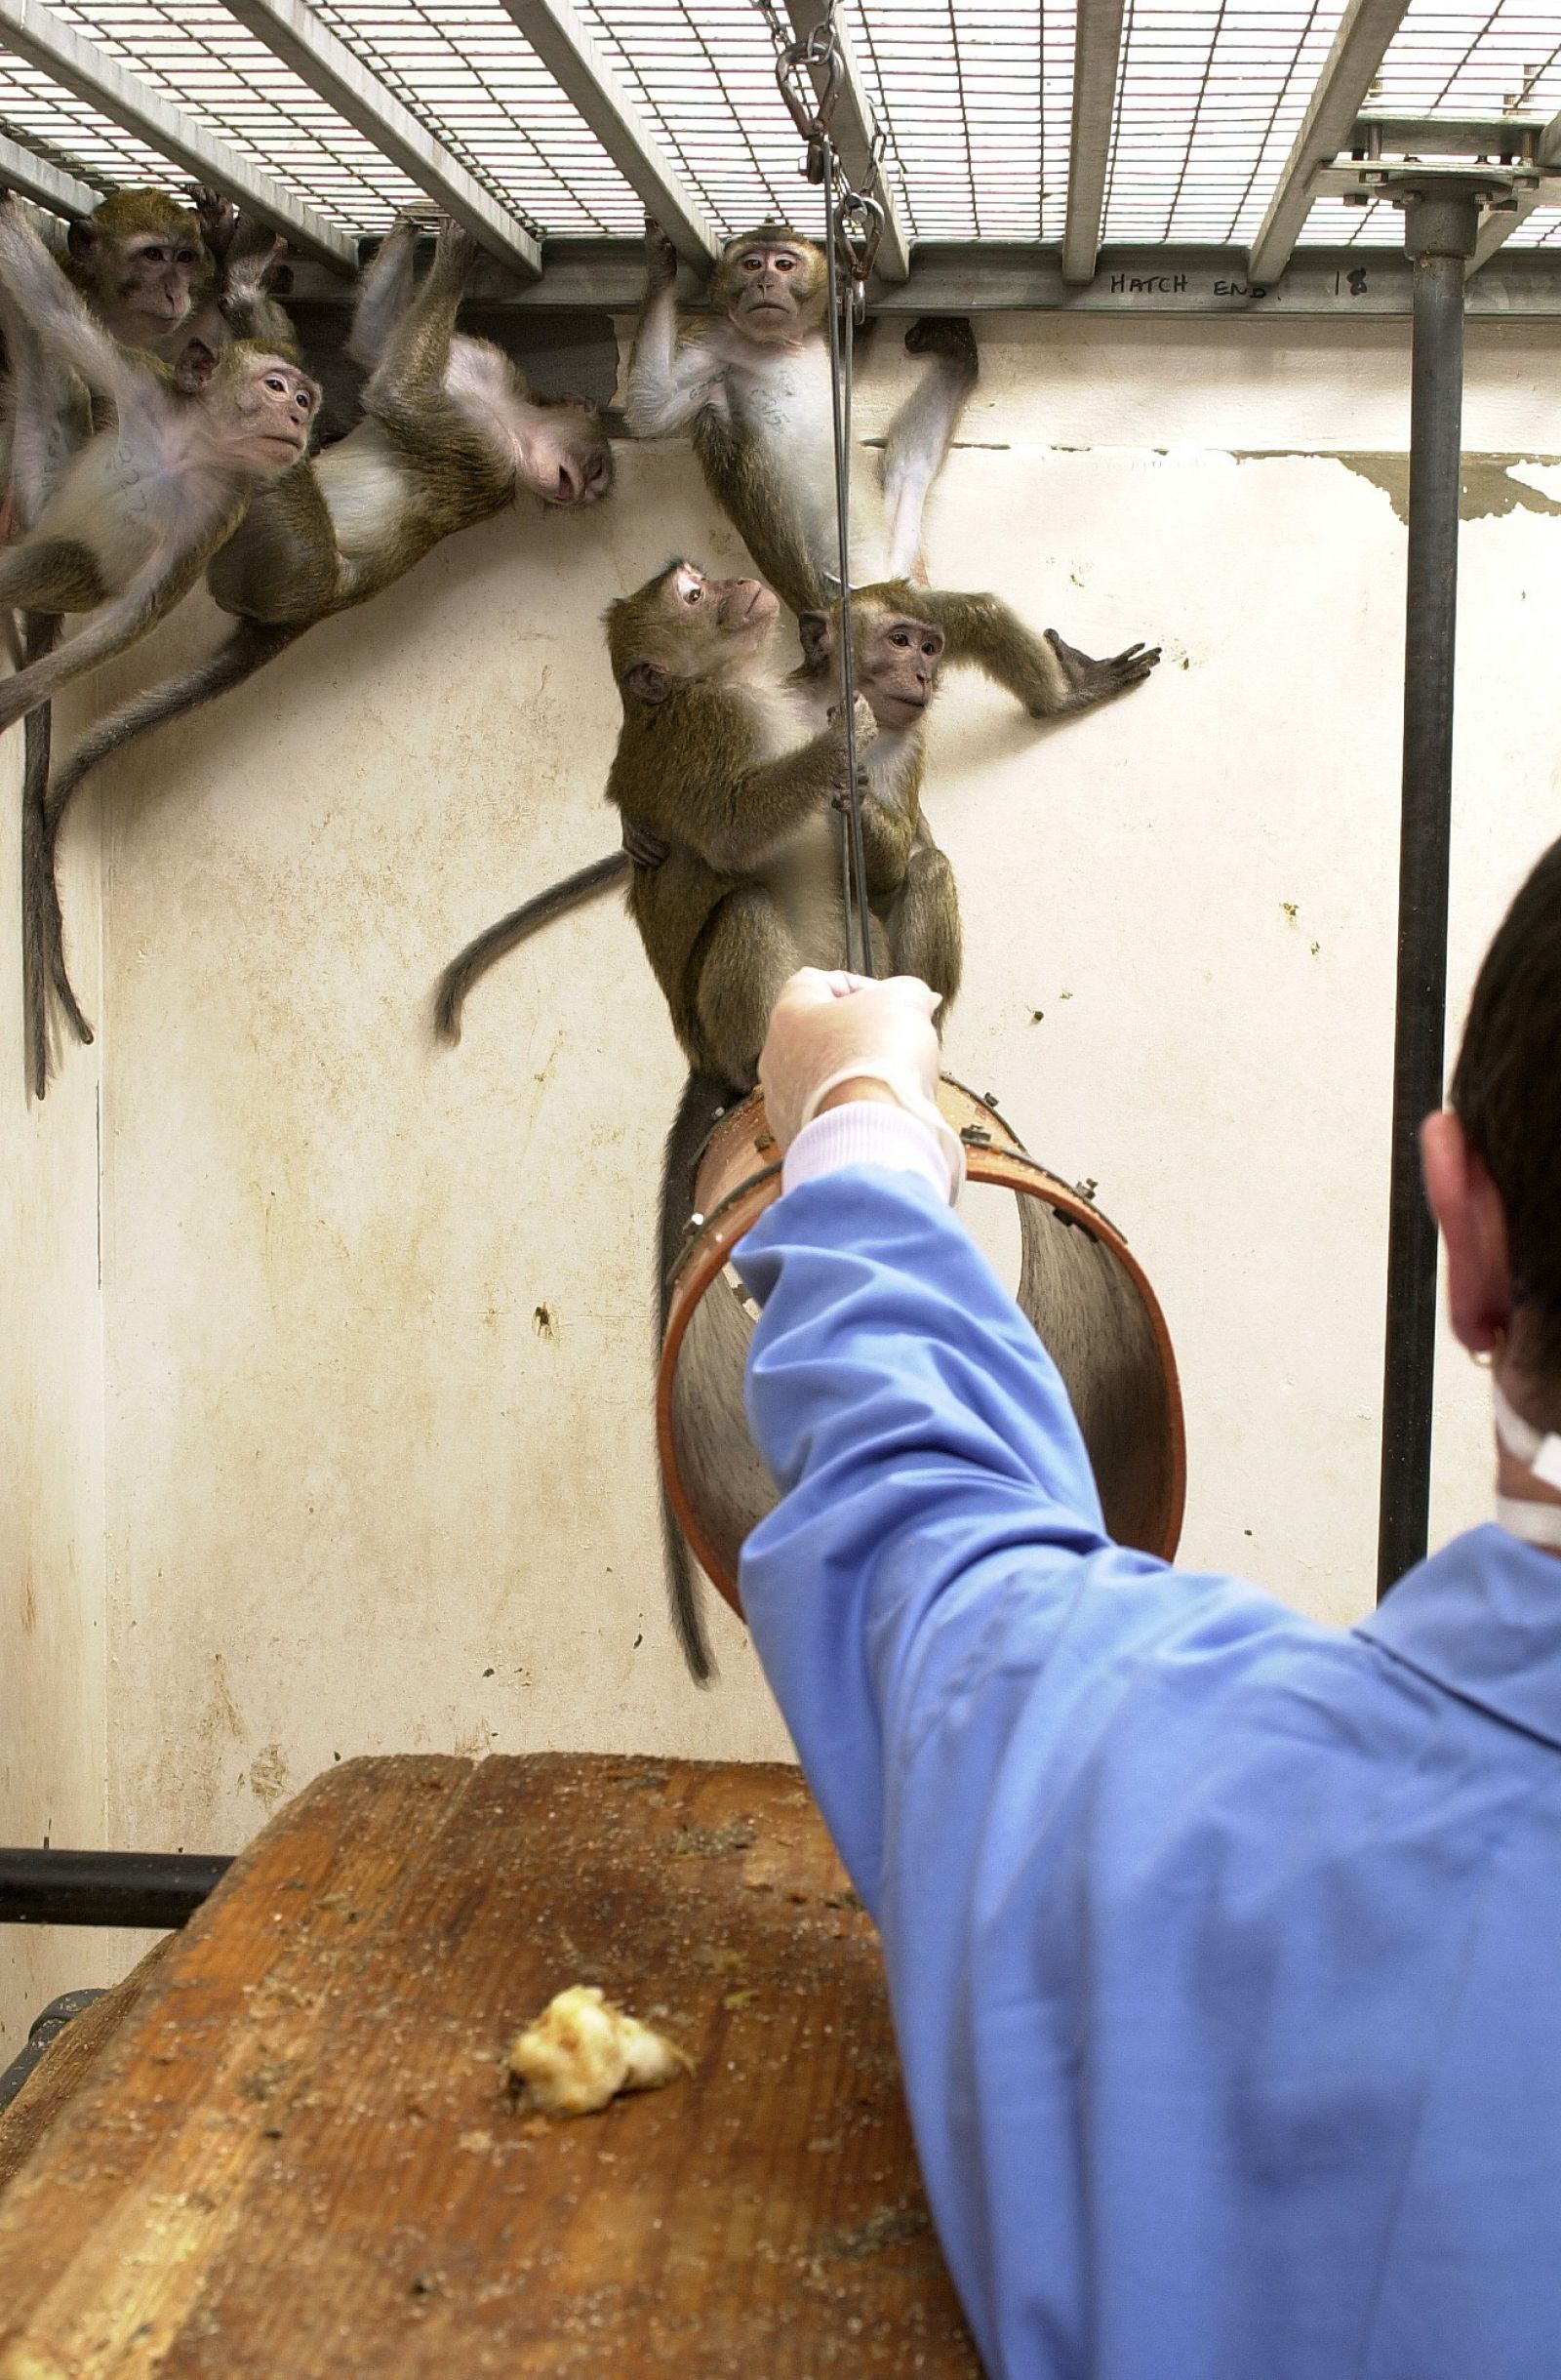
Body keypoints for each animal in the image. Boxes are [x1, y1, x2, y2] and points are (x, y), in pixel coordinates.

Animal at [33, 214, 614, 1090]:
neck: (509, 421)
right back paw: (243, 310)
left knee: (267, 461)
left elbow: (392, 397)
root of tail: (304, 608)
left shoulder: (477, 454)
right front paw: (410, 239)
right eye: (595, 464)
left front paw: (455, 251)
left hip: (287, 552)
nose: (580, 489)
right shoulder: (484, 378)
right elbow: (376, 347)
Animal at [623, 224, 1156, 723]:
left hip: (903, 558)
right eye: (751, 263)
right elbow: (652, 408)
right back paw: (1064, 697)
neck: (781, 343)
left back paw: (958, 360)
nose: (764, 283)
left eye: (783, 263)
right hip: (877, 613)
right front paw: (659, 267)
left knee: (910, 468)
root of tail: (887, 577)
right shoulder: (714, 344)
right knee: (978, 613)